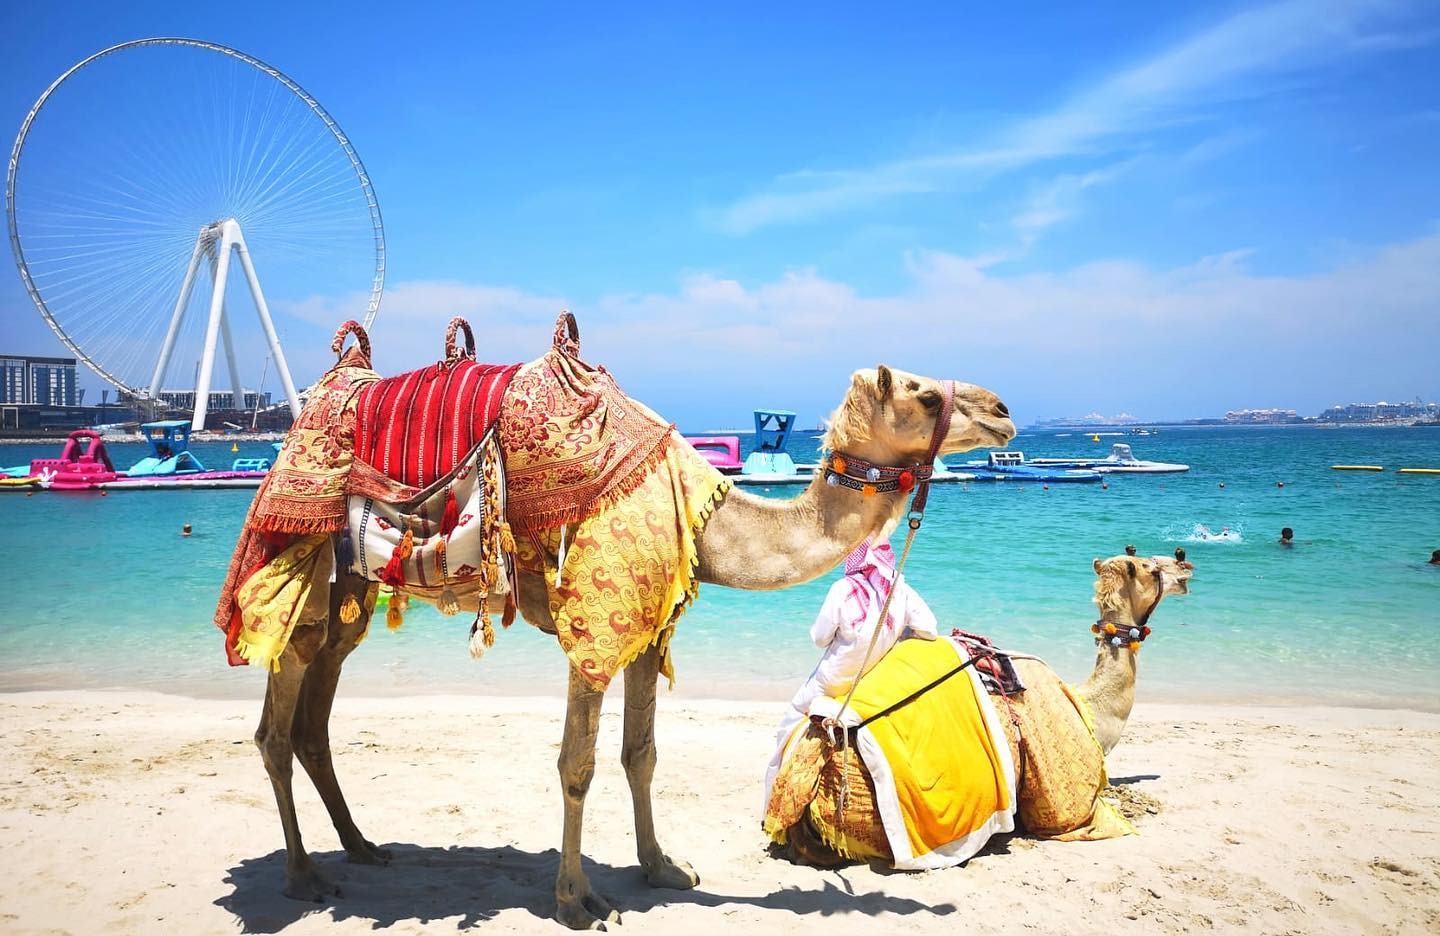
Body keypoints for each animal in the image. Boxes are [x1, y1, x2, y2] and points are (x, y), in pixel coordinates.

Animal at [248, 356, 1014, 929]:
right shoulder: (596, 618)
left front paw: (662, 867)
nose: (1004, 409)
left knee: (315, 718)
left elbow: (640, 754)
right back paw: (302, 875)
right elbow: (577, 764)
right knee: (275, 728)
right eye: (920, 392)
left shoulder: (649, 628)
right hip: (298, 575)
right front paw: (577, 901)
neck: (709, 520)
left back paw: (362, 848)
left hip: (346, 603)